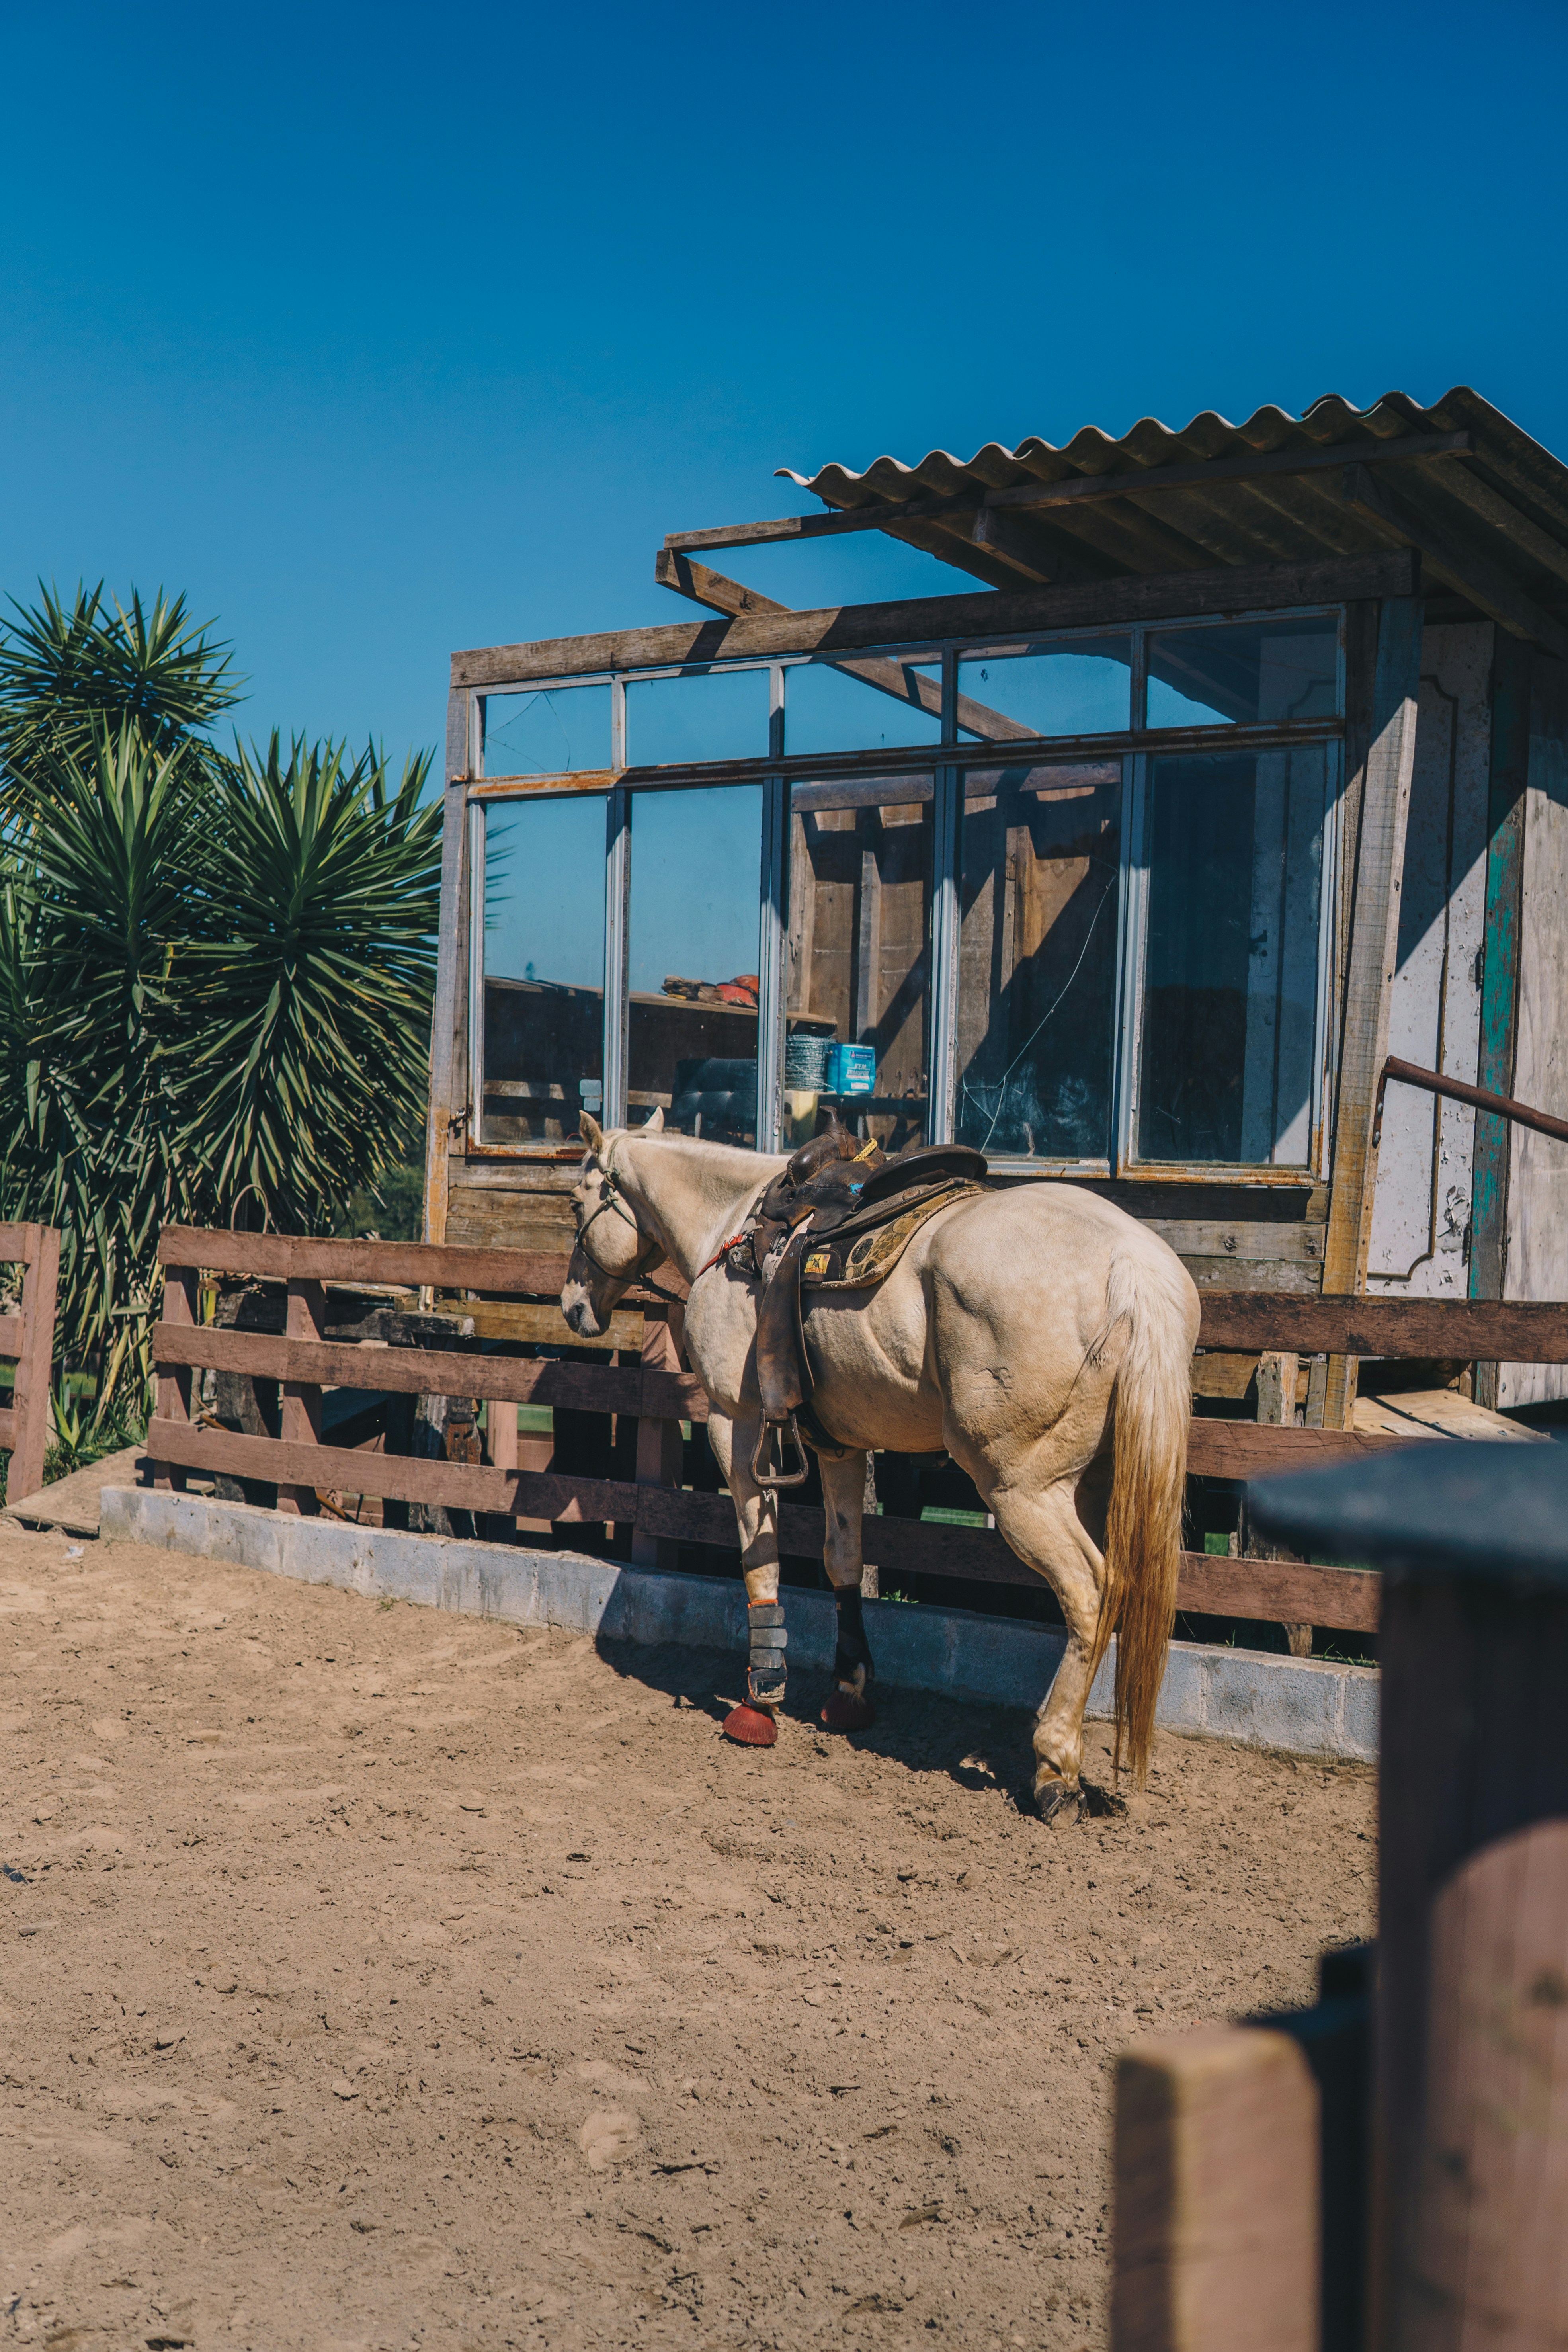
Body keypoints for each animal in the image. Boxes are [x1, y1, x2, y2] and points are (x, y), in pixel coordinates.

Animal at [561, 1113, 1199, 1820]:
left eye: (576, 1203)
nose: (572, 1307)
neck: (728, 1222)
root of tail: (1131, 1264)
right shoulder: (841, 1447)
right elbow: (843, 1559)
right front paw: (848, 1689)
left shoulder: (736, 1424)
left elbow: (760, 1560)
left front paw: (761, 1698)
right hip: (1098, 1482)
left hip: (1019, 1490)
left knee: (1087, 1595)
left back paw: (1054, 1766)